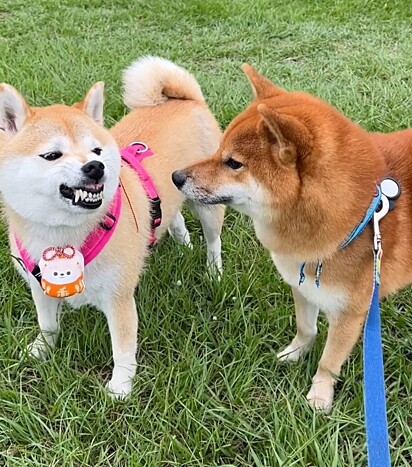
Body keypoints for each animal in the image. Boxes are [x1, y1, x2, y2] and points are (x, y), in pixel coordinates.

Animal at [0, 55, 225, 398]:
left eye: (96, 151)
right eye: (52, 155)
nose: (96, 166)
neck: (63, 235)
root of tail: (186, 101)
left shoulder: (118, 297)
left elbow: (122, 347)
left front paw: (121, 386)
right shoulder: (38, 286)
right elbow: (47, 324)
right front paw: (40, 350)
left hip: (207, 204)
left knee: (213, 241)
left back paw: (213, 271)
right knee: (171, 214)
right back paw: (182, 243)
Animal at [172, 64, 412, 412]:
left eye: (233, 162)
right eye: (218, 149)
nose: (176, 176)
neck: (358, 217)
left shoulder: (351, 313)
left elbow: (329, 361)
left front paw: (319, 397)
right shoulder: (303, 285)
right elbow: (306, 328)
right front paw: (294, 354)